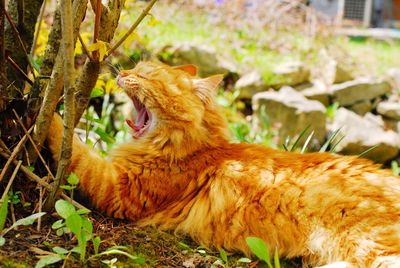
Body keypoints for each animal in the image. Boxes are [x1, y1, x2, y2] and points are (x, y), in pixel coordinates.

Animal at [47, 61, 400, 266]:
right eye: (133, 69)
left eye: (144, 74)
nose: (122, 73)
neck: (197, 149)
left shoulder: (119, 189)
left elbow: (74, 148)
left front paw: (47, 104)